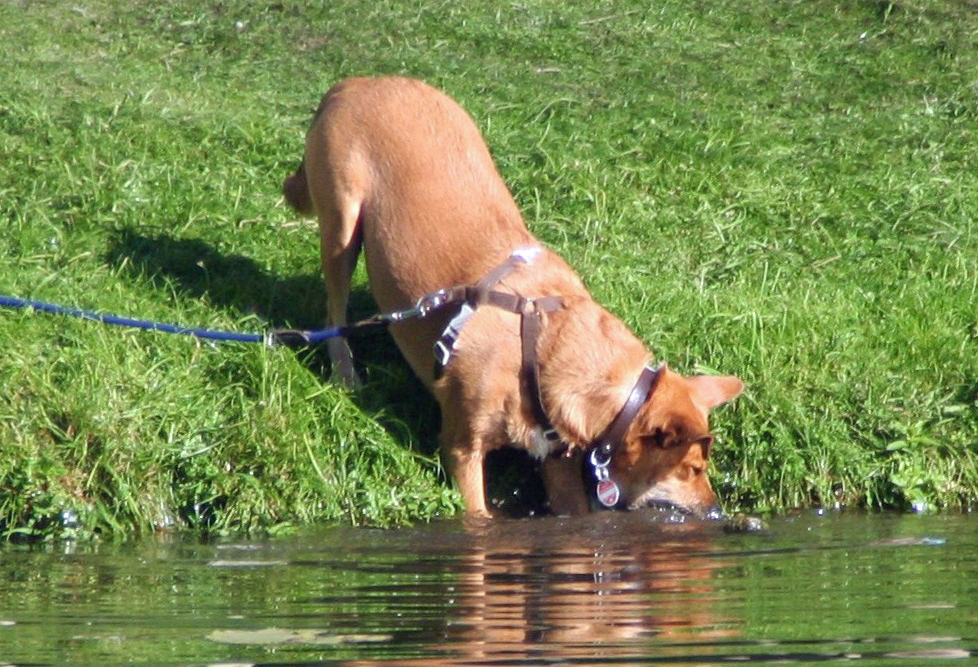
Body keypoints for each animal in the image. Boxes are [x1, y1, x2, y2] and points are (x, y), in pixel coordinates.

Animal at [282, 77, 740, 516]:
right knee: (334, 311)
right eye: (691, 469)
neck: (543, 344)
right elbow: (479, 516)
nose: (715, 509)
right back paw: (345, 373)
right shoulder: (462, 446)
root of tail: (355, 83)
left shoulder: (555, 459)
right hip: (342, 226)